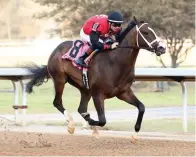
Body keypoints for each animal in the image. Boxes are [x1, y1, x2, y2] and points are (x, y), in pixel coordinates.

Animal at [26, 16, 165, 137]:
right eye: (145, 32)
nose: (162, 48)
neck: (115, 62)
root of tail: (55, 50)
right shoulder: (98, 94)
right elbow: (102, 120)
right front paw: (91, 123)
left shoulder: (123, 92)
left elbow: (141, 107)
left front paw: (136, 132)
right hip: (60, 79)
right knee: (57, 102)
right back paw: (71, 124)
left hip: (85, 88)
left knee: (81, 108)